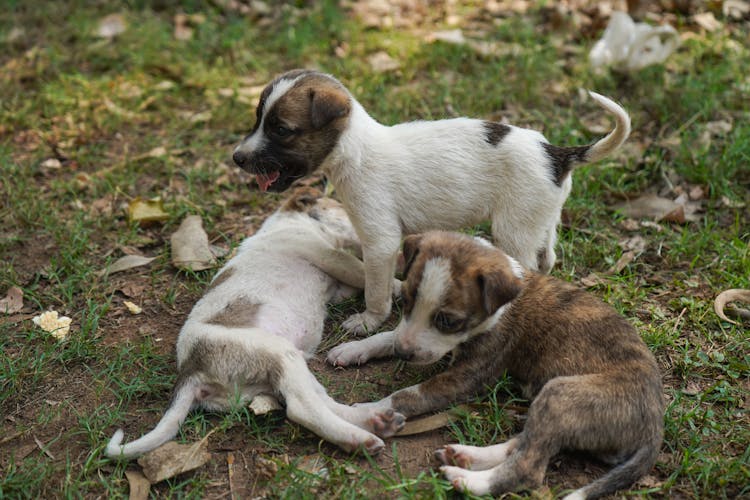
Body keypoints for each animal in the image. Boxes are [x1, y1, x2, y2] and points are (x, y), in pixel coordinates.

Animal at [106, 186, 406, 458]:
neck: (288, 222)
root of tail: (191, 371)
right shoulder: (330, 256)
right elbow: (363, 273)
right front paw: (401, 286)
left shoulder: (338, 285)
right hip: (276, 352)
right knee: (302, 409)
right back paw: (360, 439)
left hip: (284, 369)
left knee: (321, 402)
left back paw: (376, 420)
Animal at [232, 70, 632, 334]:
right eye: (257, 120)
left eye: (281, 129)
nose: (236, 158)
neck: (354, 151)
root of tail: (556, 154)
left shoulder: (380, 241)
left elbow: (376, 289)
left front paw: (370, 321)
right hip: (542, 221)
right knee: (547, 258)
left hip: (512, 232)